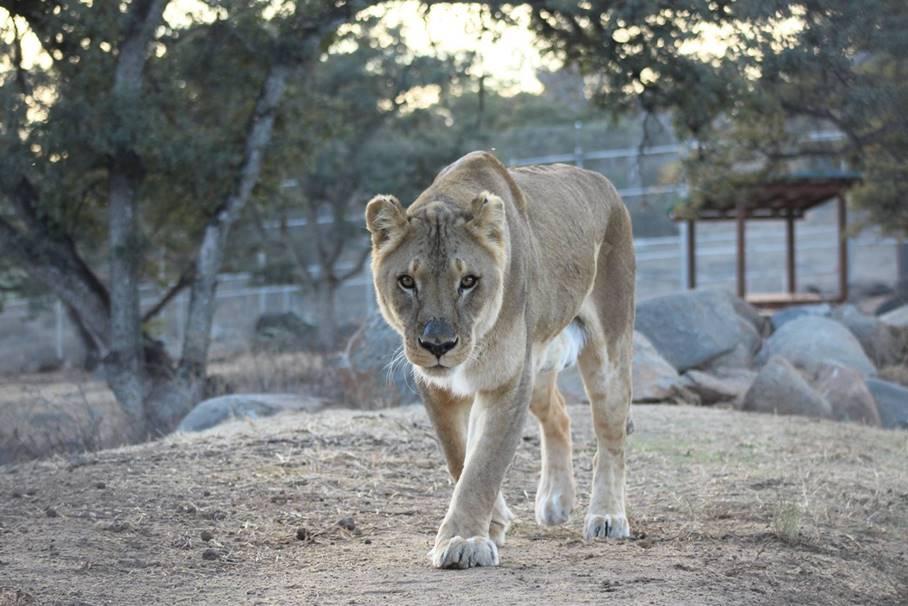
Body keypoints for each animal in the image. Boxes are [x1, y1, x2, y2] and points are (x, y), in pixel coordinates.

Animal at [365, 150, 635, 569]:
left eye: (469, 281)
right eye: (407, 281)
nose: (438, 344)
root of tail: (601, 181)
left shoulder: (507, 380)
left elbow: (484, 464)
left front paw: (463, 540)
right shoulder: (439, 386)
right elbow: (460, 456)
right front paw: (492, 523)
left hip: (608, 345)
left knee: (611, 433)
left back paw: (607, 516)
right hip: (536, 360)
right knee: (558, 414)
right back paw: (556, 502)